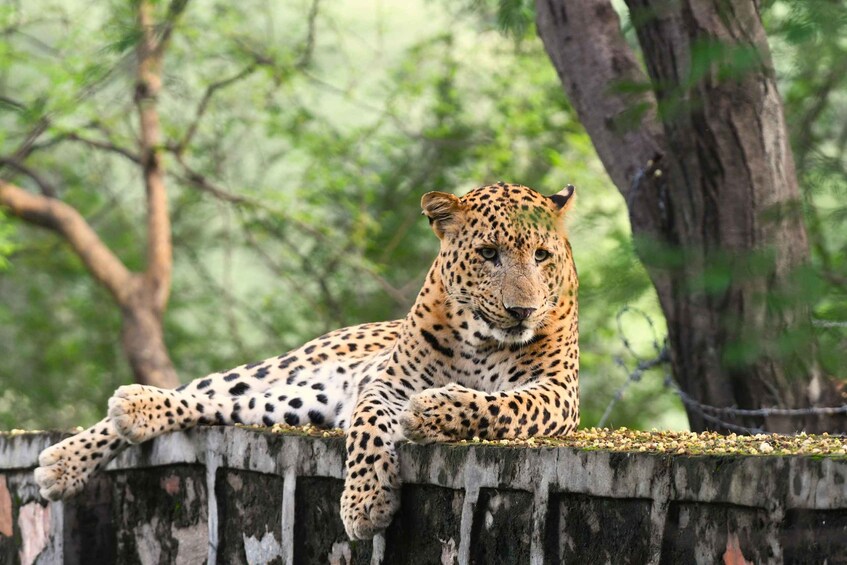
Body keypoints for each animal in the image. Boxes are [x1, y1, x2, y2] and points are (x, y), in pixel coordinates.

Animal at [34, 182, 580, 540]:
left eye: (542, 255)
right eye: (488, 253)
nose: (523, 310)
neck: (481, 338)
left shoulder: (559, 394)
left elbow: (503, 404)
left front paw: (434, 411)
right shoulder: (387, 384)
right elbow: (367, 429)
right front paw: (365, 501)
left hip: (295, 402)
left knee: (212, 405)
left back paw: (124, 419)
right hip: (283, 369)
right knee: (202, 390)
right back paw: (76, 451)